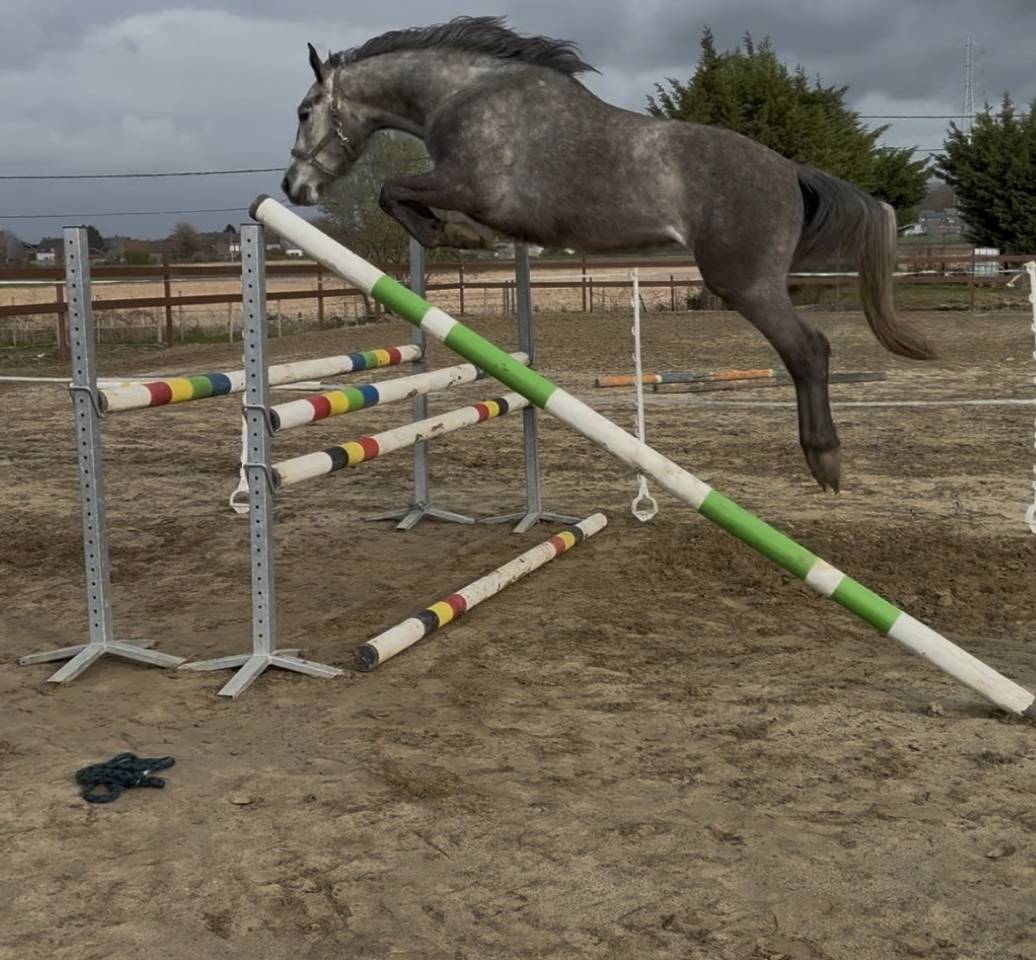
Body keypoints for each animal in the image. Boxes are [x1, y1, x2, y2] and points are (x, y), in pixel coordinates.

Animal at [278, 16, 935, 492]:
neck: (465, 94)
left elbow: (394, 191)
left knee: (809, 351)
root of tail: (790, 171)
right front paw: (461, 235)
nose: (293, 187)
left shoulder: (467, 185)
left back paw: (825, 460)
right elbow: (409, 200)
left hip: (744, 283)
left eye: (304, 112)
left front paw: (454, 235)